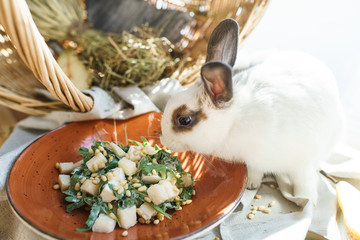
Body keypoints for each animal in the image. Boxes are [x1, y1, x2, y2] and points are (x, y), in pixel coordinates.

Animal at [160, 18, 344, 204]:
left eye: (184, 120)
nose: (163, 140)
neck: (232, 123)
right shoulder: (253, 161)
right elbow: (256, 171)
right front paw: (252, 184)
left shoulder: (302, 162)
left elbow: (304, 181)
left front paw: (306, 199)